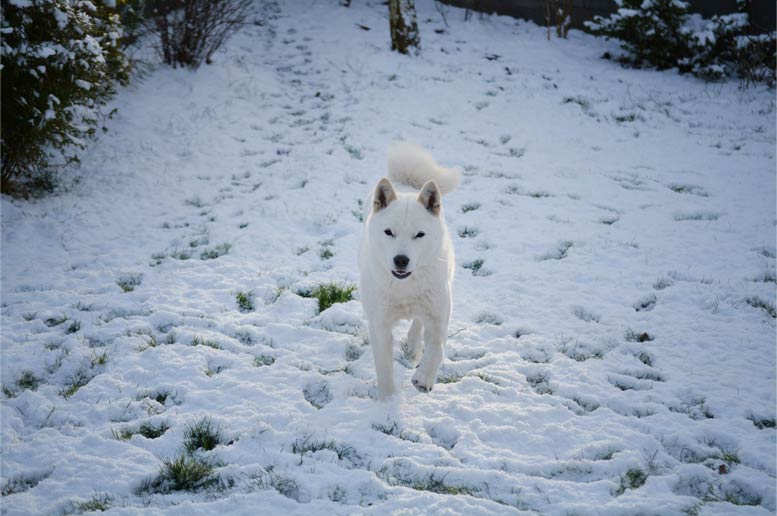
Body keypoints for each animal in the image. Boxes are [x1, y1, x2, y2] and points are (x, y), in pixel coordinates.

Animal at [360, 143, 460, 402]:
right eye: (389, 232)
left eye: (419, 234)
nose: (401, 260)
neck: (405, 286)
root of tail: (408, 184)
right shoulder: (380, 325)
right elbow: (384, 368)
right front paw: (388, 401)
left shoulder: (439, 315)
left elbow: (437, 348)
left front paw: (423, 379)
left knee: (418, 322)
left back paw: (414, 348)